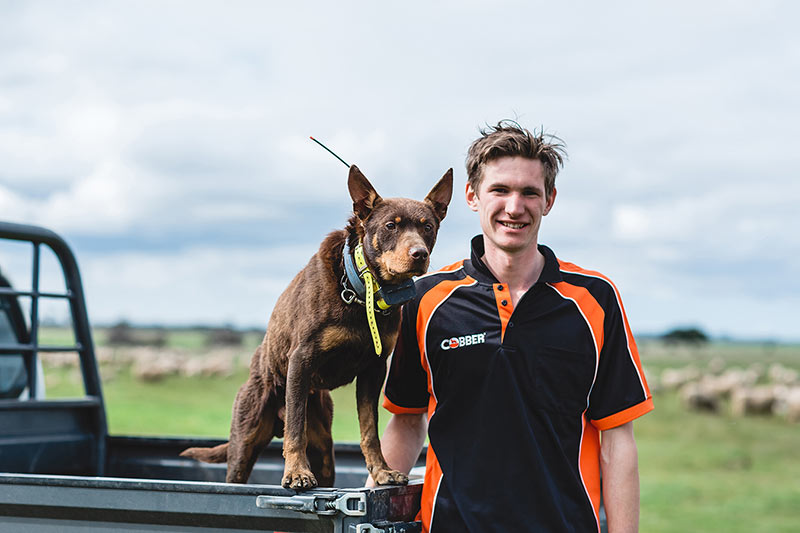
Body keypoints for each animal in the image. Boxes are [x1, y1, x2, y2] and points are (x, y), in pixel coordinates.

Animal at [179, 164, 450, 488]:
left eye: (428, 227)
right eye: (390, 226)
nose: (419, 254)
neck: (359, 291)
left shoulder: (373, 370)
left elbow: (369, 431)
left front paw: (382, 471)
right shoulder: (301, 359)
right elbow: (296, 427)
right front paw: (296, 472)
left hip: (324, 450)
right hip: (244, 441)